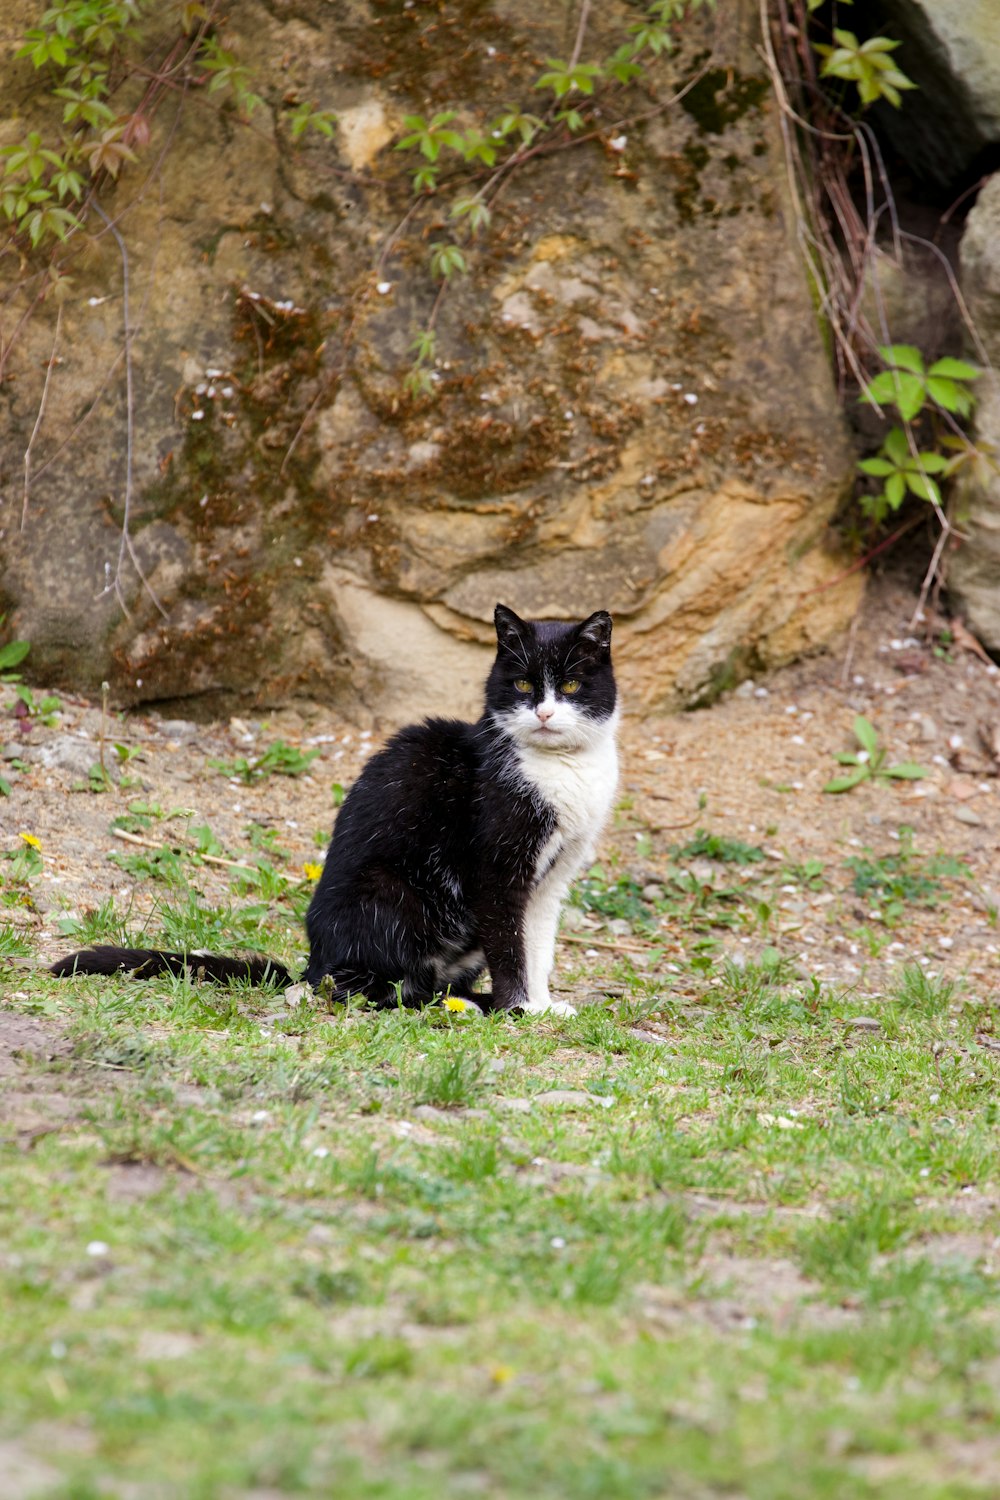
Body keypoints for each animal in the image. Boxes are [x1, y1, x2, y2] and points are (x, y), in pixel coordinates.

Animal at [54, 606, 620, 1020]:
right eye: (522, 686)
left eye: (571, 686)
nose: (544, 713)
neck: (562, 768)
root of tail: (312, 963)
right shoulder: (496, 867)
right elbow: (510, 945)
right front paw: (519, 1008)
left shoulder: (554, 876)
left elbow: (537, 943)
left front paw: (543, 1006)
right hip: (391, 894)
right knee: (369, 988)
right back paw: (453, 1004)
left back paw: (464, 1000)